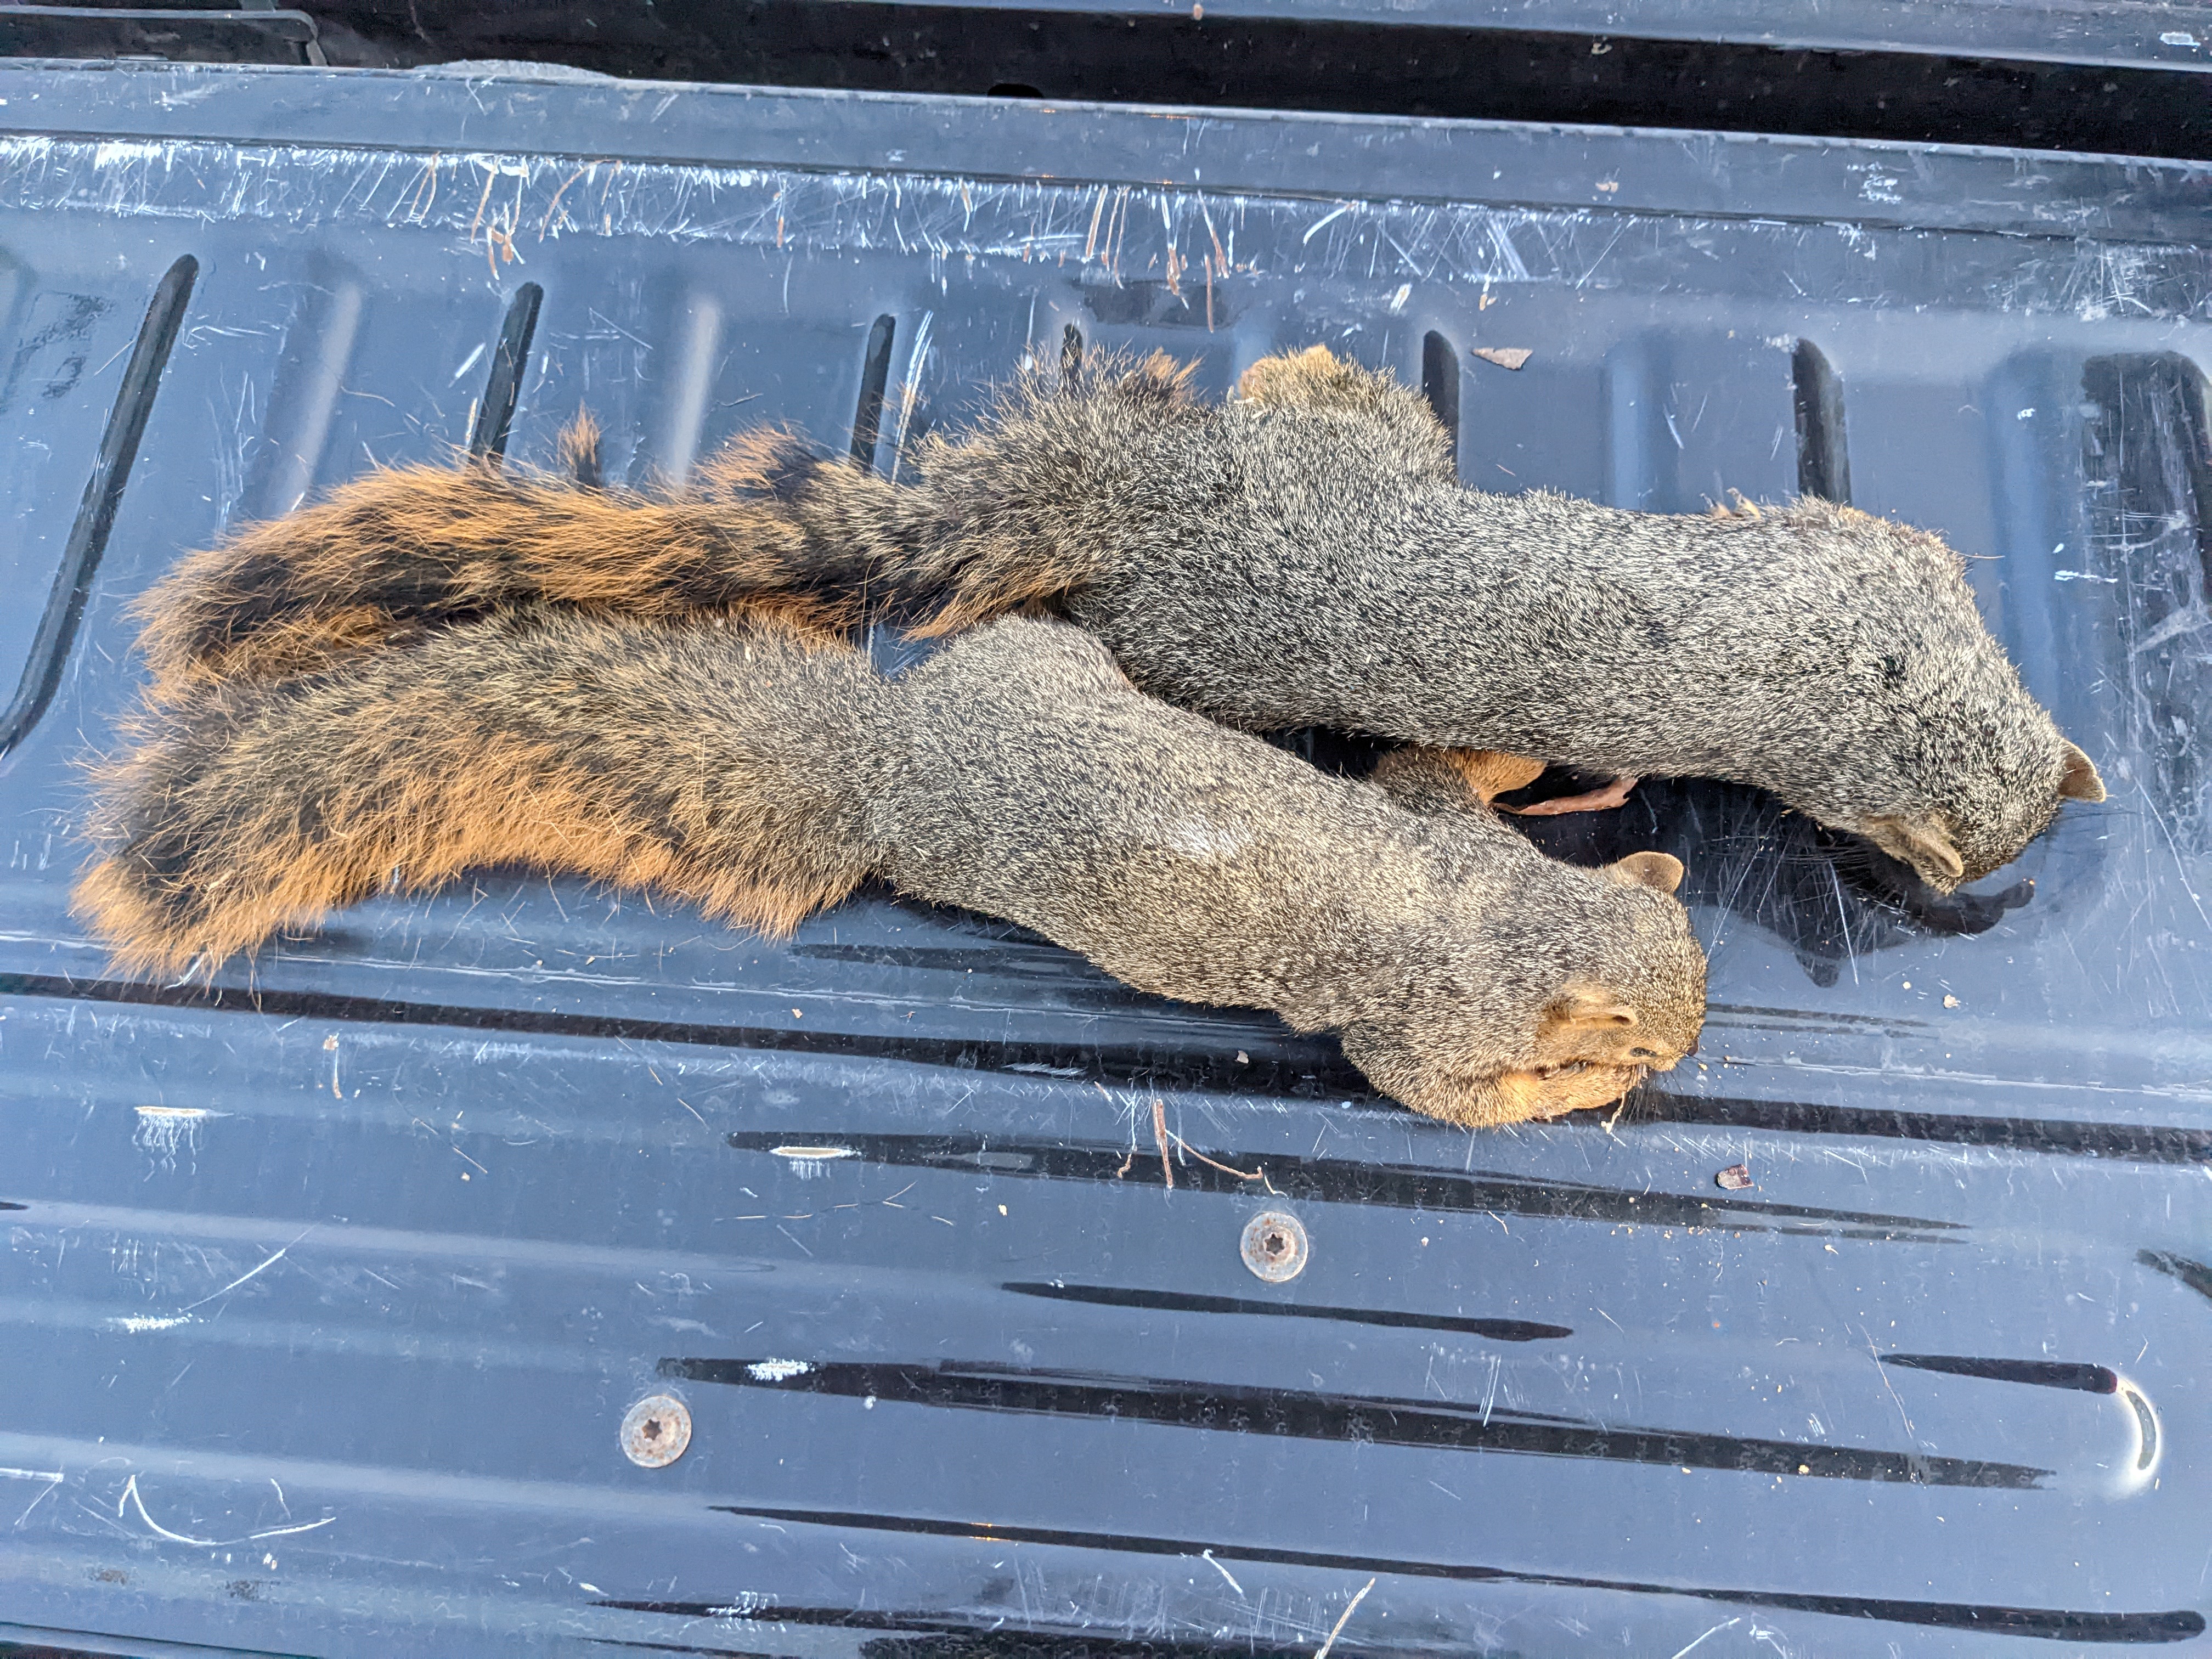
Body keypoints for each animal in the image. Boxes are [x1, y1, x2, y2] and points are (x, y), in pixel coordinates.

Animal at [76, 612, 1706, 1129]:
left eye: (1700, 962)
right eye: (1634, 1033)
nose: (1691, 1051)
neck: (1505, 912)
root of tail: (894, 753)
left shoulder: (1446, 833)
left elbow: (1439, 774)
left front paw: (1544, 766)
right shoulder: (1416, 1022)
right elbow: (1440, 1095)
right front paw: (1567, 1096)